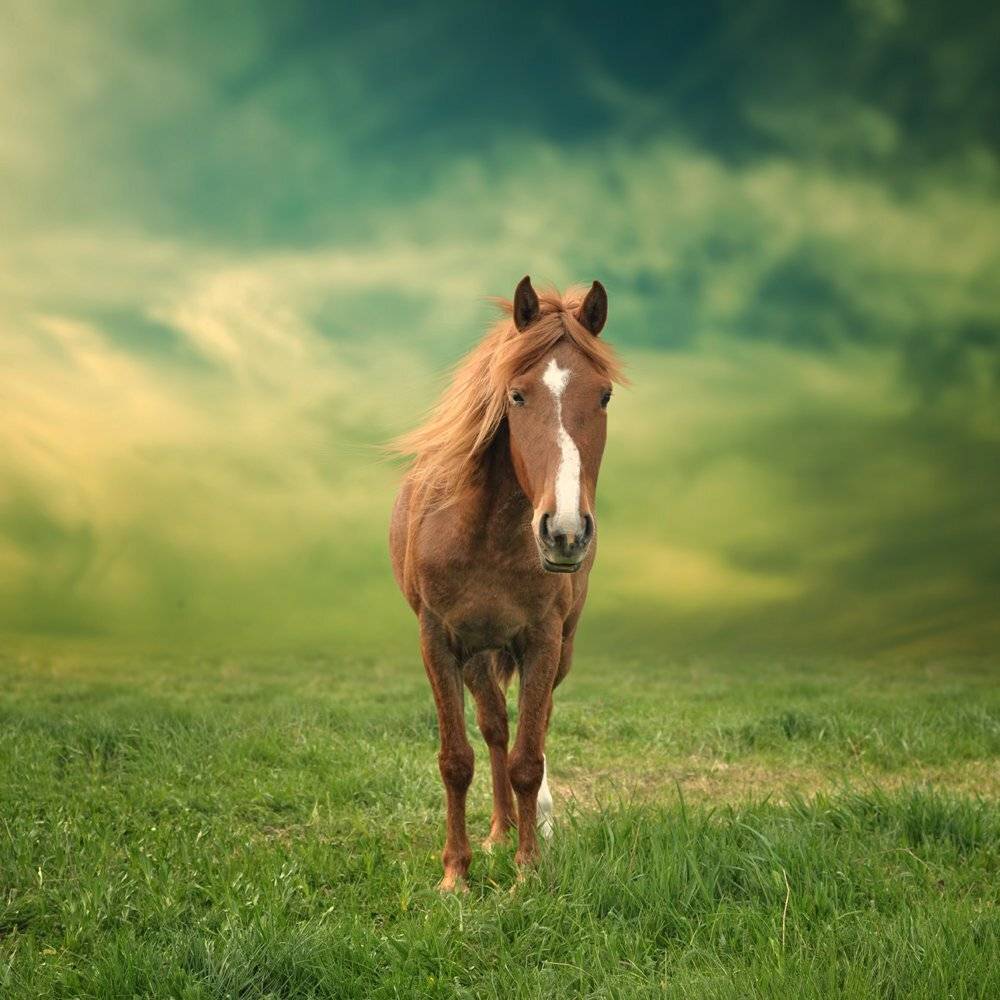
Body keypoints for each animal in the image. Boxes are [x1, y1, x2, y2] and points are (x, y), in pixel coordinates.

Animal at [390, 276, 624, 890]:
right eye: (517, 396)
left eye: (605, 396)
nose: (565, 532)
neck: (486, 533)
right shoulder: (439, 641)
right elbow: (456, 759)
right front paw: (456, 874)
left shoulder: (542, 641)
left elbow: (528, 757)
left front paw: (528, 869)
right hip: (476, 654)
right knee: (494, 725)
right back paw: (497, 832)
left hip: (558, 647)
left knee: (532, 726)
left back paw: (530, 823)